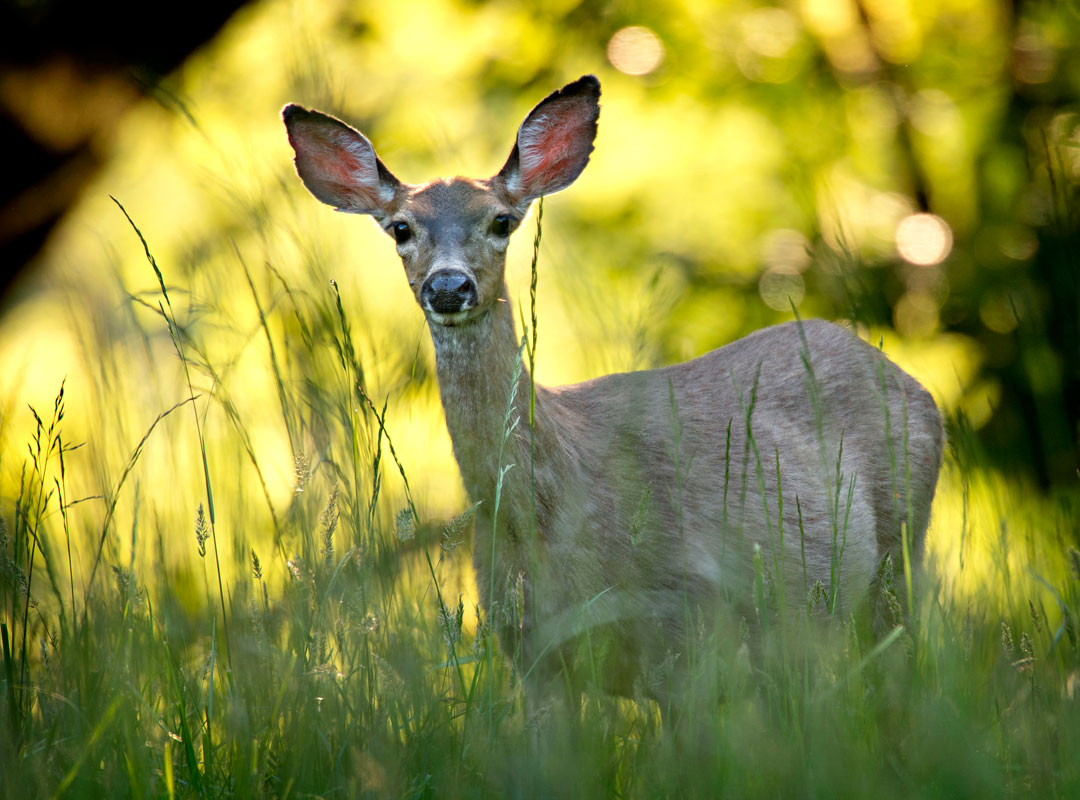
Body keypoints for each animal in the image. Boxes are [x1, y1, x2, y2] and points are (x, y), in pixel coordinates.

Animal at [283, 75, 945, 712]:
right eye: (401, 228)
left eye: (501, 221)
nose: (449, 286)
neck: (548, 520)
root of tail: (912, 382)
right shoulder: (530, 654)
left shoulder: (689, 630)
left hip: (899, 553)